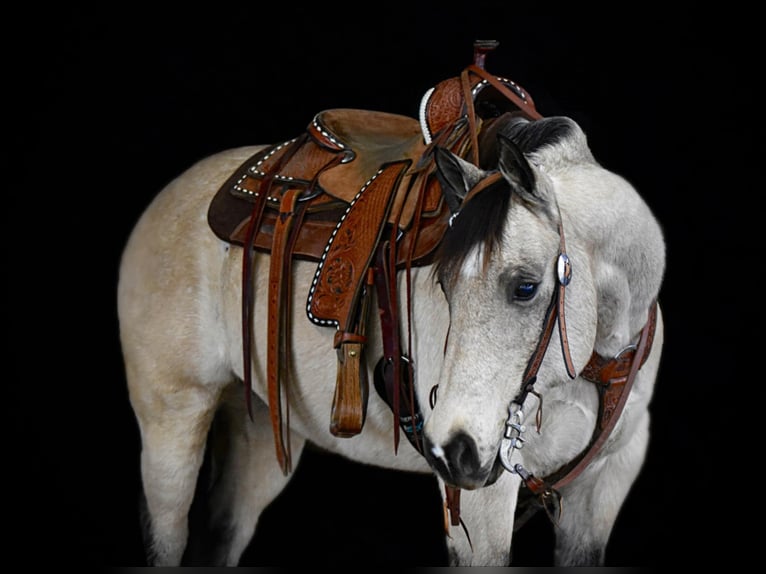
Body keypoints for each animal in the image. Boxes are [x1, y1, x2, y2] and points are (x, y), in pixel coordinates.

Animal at [115, 54, 664, 568]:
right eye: (442, 284)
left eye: (526, 288)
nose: (453, 452)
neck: (595, 361)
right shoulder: (481, 504)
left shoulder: (604, 484)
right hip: (172, 425)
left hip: (258, 432)